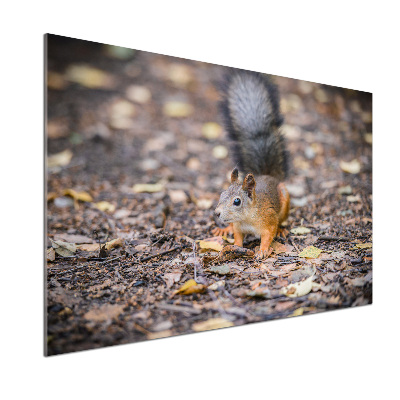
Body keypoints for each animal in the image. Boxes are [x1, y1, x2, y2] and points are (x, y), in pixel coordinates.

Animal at [212, 69, 290, 260]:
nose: (217, 213)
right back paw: (223, 229)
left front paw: (262, 250)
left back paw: (282, 230)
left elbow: (268, 235)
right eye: (222, 194)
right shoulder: (238, 227)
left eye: (237, 201)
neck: (247, 217)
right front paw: (234, 246)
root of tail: (268, 175)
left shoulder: (268, 220)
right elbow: (238, 237)